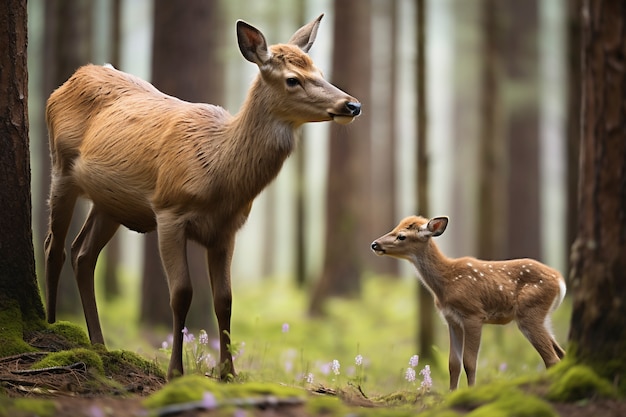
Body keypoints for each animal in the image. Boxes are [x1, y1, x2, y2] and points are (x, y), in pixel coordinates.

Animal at [44, 14, 358, 380]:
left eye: (319, 71)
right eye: (293, 79)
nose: (352, 104)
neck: (218, 171)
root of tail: (70, 79)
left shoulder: (227, 229)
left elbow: (225, 299)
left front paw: (228, 373)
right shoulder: (168, 211)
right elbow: (181, 293)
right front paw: (175, 371)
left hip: (110, 203)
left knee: (82, 254)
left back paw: (98, 343)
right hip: (61, 167)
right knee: (54, 247)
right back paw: (52, 326)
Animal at [370, 216, 564, 388]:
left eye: (401, 236)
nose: (374, 244)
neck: (446, 283)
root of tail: (560, 280)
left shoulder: (474, 314)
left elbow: (469, 362)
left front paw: (470, 391)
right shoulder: (452, 320)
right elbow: (453, 364)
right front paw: (451, 393)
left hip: (530, 312)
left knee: (552, 358)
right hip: (542, 316)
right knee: (560, 352)